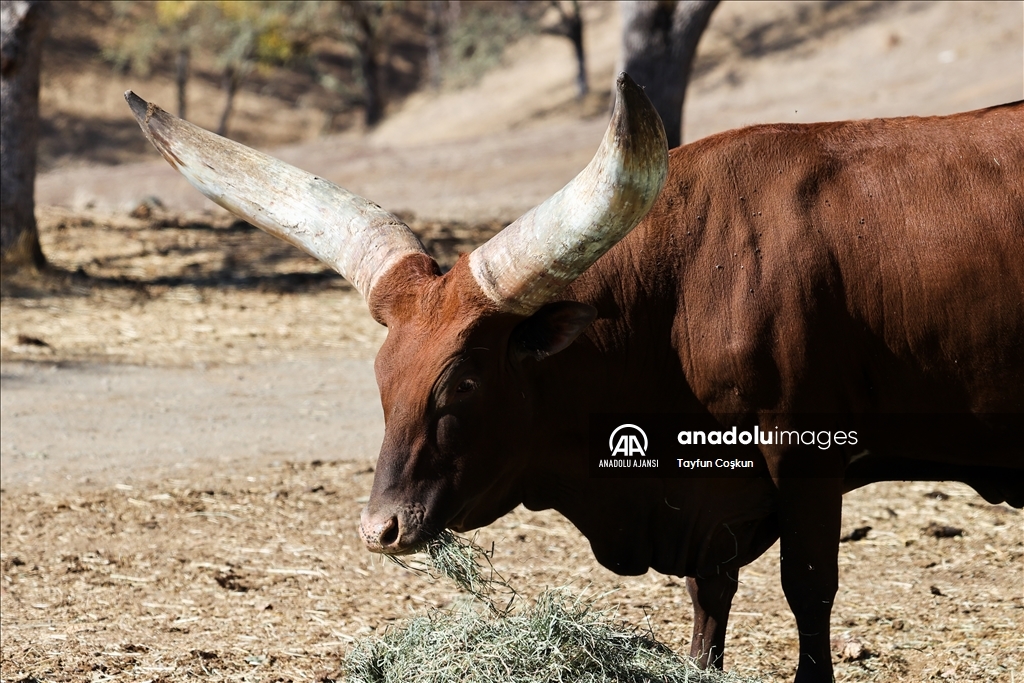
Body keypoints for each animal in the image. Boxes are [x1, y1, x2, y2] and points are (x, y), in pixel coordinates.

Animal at [128, 76, 1024, 683]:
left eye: (460, 382)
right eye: (382, 375)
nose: (382, 528)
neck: (691, 283)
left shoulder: (806, 460)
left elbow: (809, 593)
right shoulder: (712, 496)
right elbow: (710, 597)